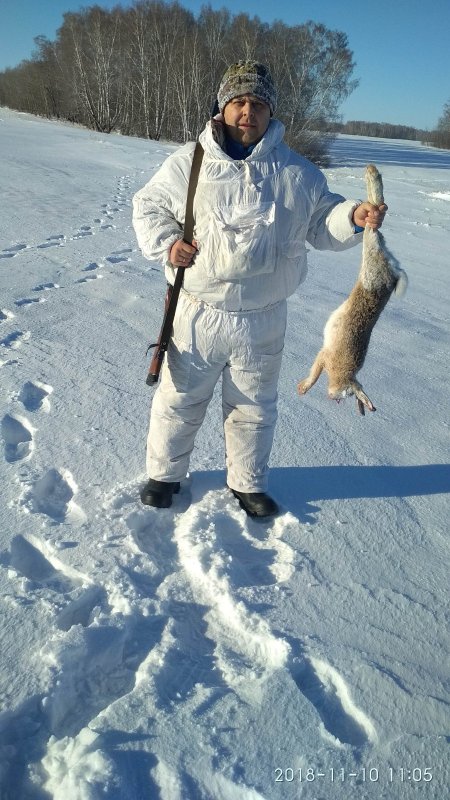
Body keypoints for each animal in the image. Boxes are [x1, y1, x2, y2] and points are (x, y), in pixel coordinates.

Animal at [297, 164, 407, 415]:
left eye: (346, 397)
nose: (333, 397)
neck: (344, 375)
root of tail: (391, 274)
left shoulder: (324, 356)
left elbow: (314, 372)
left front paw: (302, 388)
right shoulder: (324, 357)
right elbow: (314, 374)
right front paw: (303, 388)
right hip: (370, 260)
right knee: (371, 227)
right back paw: (371, 174)